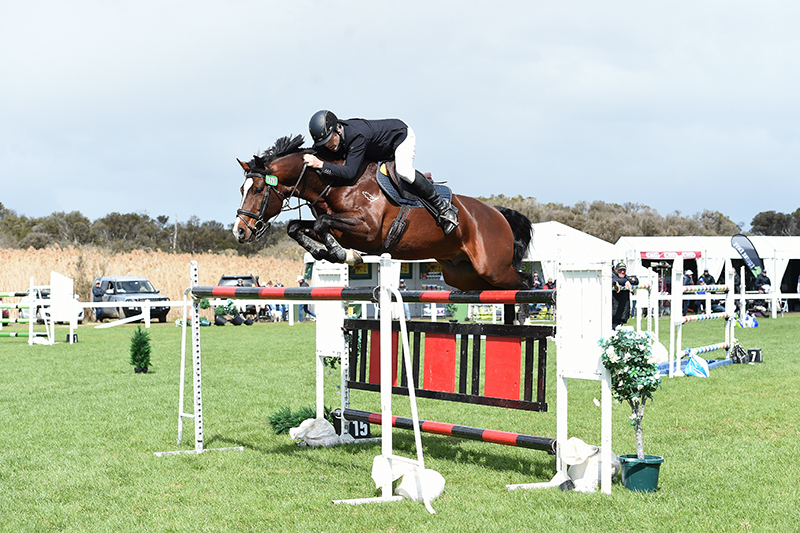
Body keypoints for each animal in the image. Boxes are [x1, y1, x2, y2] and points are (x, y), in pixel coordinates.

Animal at [233, 135, 533, 291]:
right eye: (241, 188)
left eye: (257, 189)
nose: (240, 231)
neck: (337, 182)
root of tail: (498, 214)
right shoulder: (341, 226)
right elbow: (297, 227)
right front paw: (325, 252)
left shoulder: (367, 231)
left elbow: (321, 224)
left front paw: (343, 255)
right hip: (462, 274)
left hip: (493, 268)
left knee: (526, 281)